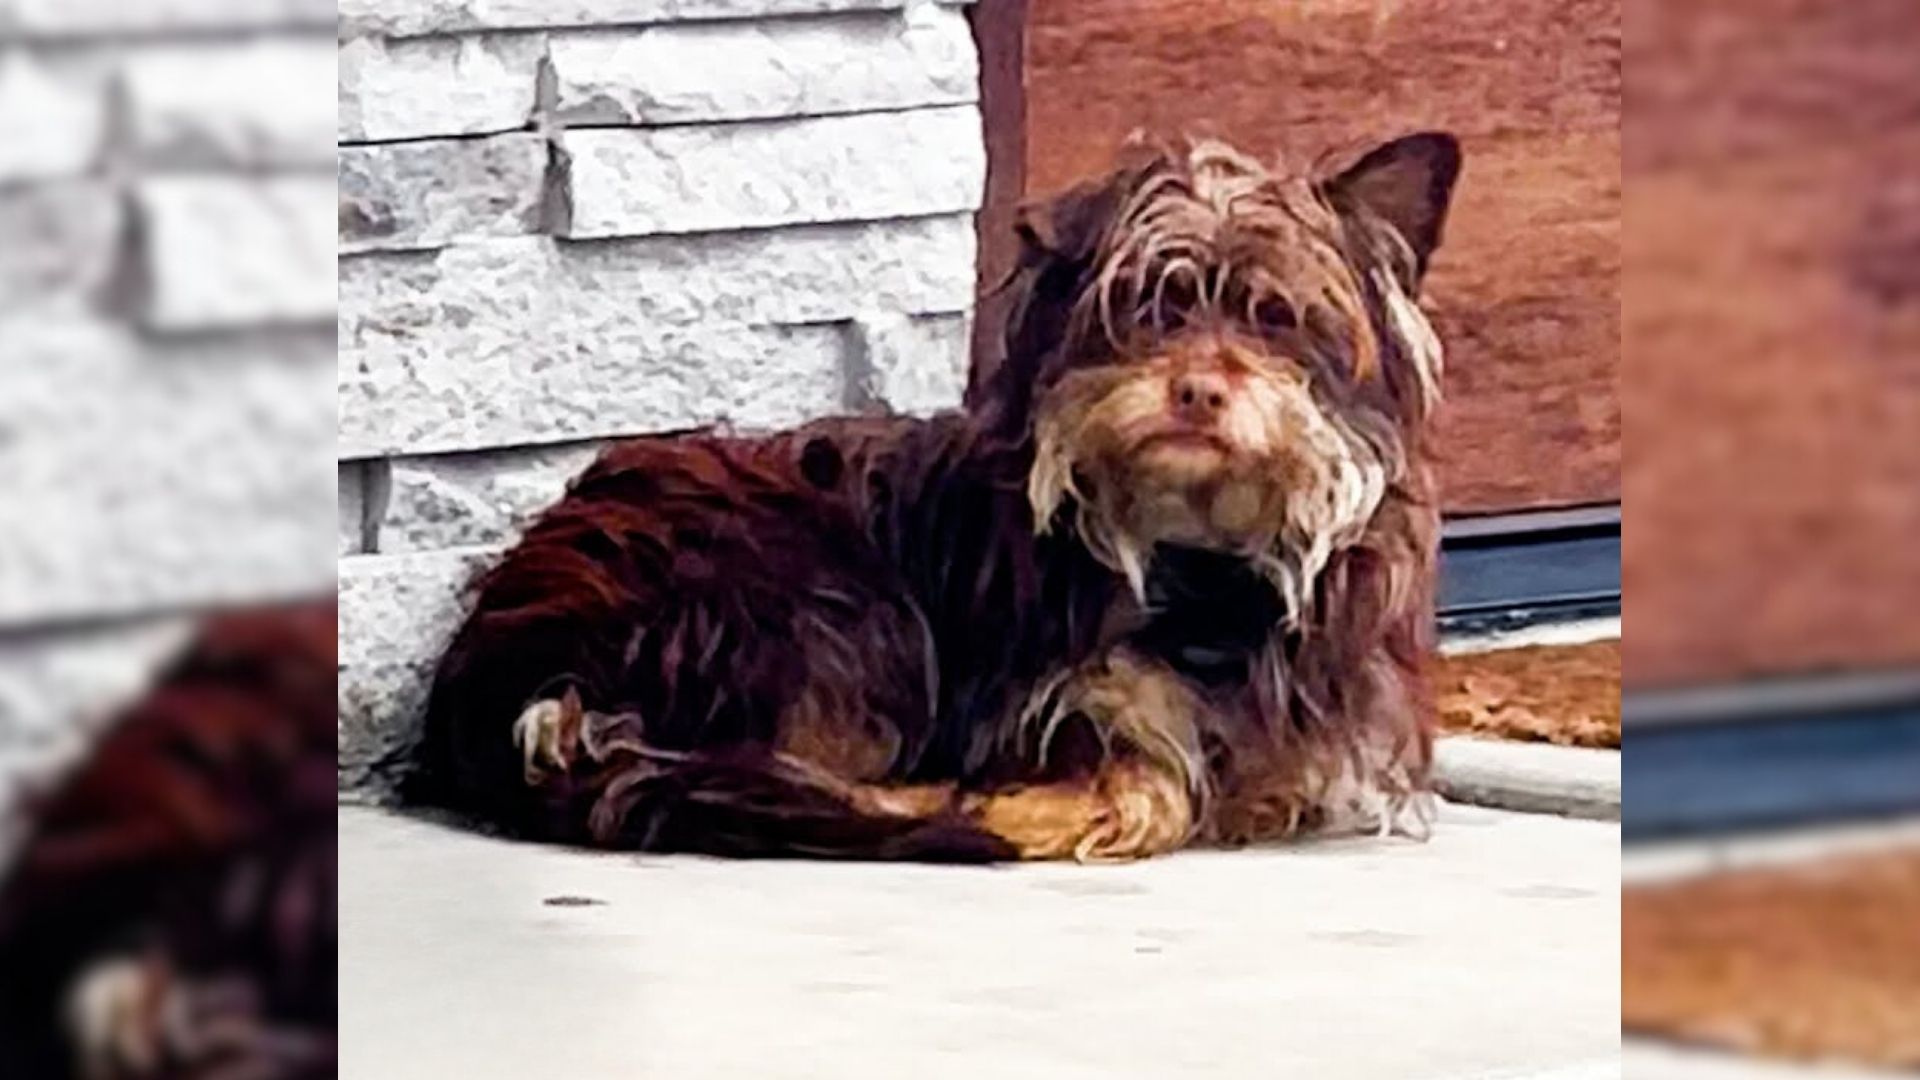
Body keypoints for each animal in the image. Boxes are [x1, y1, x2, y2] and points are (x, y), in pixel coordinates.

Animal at [405, 130, 1451, 860]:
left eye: (1277, 318)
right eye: (1147, 307)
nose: (1196, 390)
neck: (1197, 561)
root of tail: (507, 671)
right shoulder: (1050, 695)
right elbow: (1143, 781)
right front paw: (1039, 805)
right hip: (824, 602)